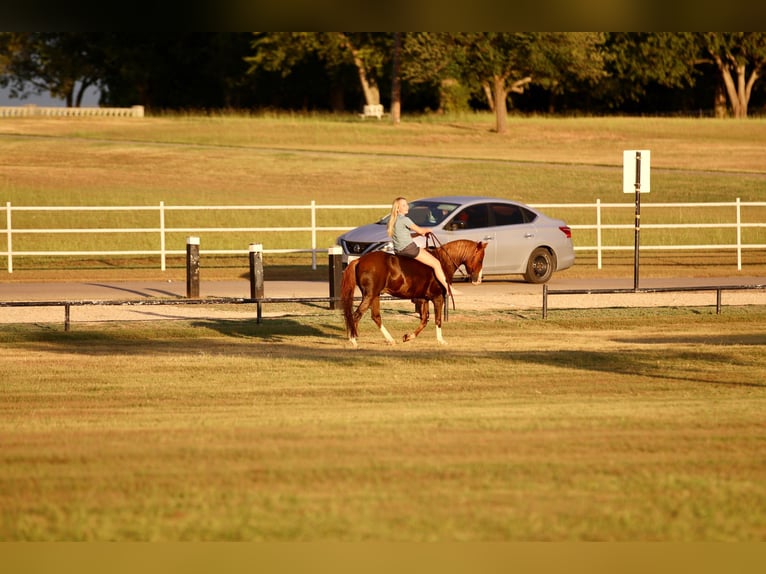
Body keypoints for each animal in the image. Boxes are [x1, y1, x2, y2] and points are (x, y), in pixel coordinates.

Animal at [341, 239, 487, 347]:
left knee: (375, 317)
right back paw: (353, 339)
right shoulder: (438, 298)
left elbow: (424, 320)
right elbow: (437, 319)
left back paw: (389, 340)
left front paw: (408, 337)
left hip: (375, 295)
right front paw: (441, 340)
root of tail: (359, 260)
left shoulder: (424, 299)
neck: (442, 262)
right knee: (356, 315)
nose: (479, 279)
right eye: (480, 259)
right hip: (370, 295)